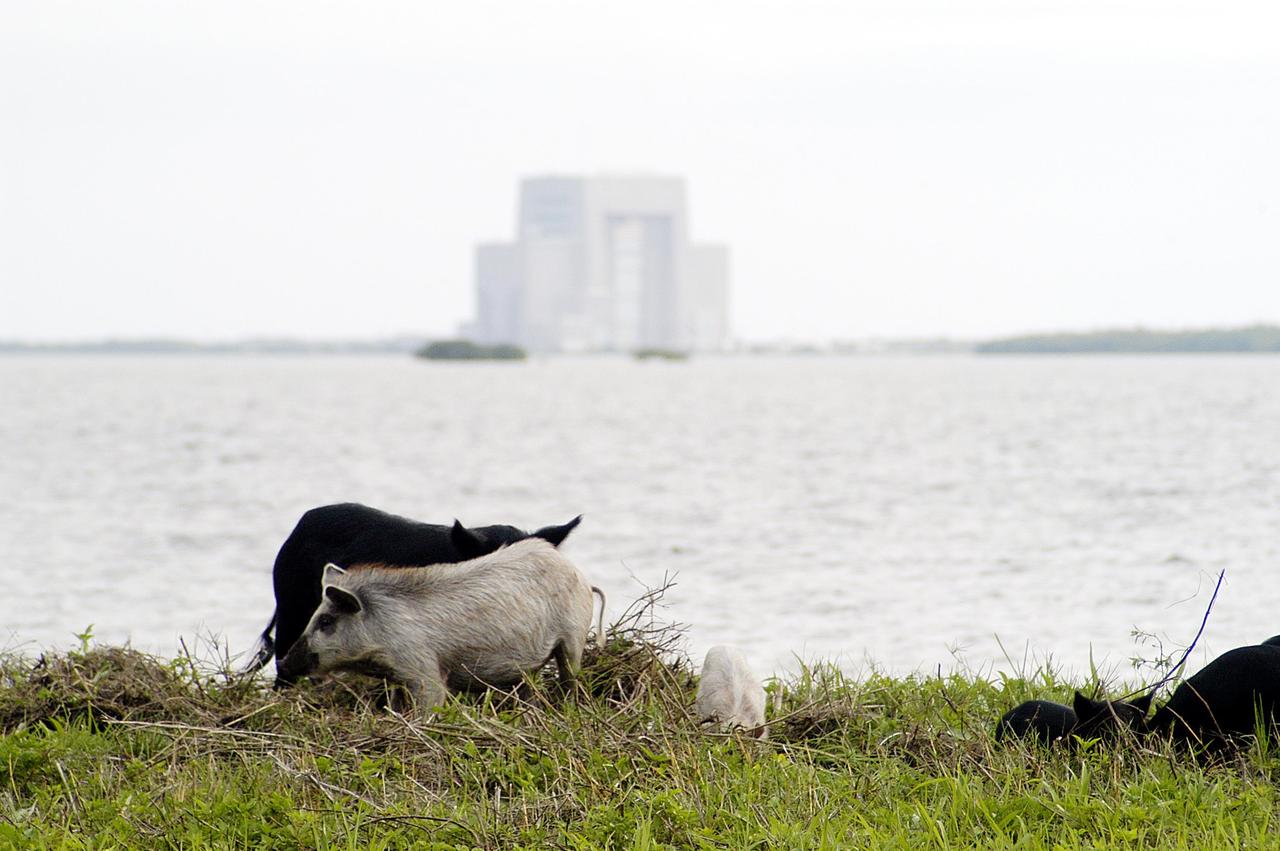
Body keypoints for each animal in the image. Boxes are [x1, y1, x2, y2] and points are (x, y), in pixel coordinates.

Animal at [277, 538, 604, 712]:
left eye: (326, 620)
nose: (284, 661)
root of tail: (582, 577)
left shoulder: (422, 667)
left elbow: (430, 702)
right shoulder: (398, 678)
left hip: (573, 636)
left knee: (570, 675)